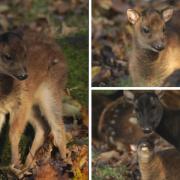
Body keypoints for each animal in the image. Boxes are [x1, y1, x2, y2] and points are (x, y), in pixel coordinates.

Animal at [0, 27, 67, 167]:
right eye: (7, 56)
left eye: (25, 54)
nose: (24, 75)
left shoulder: (21, 102)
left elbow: (14, 133)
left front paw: (14, 165)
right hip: (32, 105)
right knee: (43, 127)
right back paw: (28, 164)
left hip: (50, 92)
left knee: (58, 126)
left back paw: (67, 163)